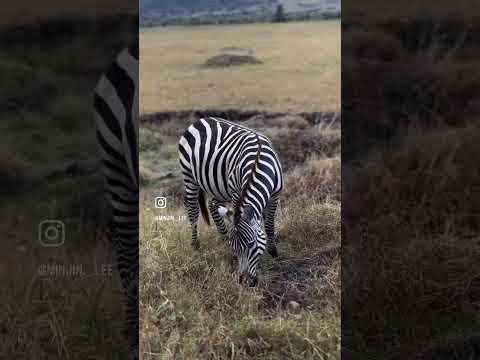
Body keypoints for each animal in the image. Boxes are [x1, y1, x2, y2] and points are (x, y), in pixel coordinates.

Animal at [178, 116, 284, 286]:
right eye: (235, 247)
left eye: (251, 244)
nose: (244, 281)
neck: (258, 161)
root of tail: (200, 120)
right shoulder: (236, 193)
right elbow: (238, 216)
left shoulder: (275, 195)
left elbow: (269, 225)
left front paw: (273, 252)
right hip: (189, 176)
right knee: (193, 210)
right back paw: (195, 245)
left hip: (219, 187)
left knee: (212, 205)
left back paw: (223, 236)